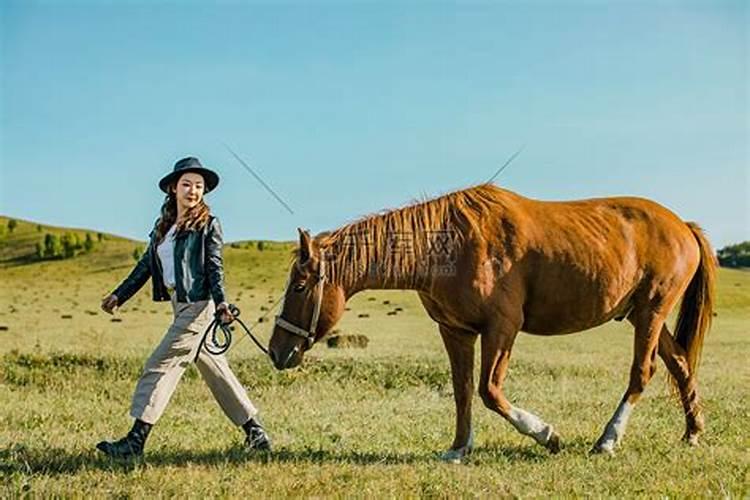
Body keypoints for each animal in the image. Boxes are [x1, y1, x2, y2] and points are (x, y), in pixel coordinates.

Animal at [268, 183, 716, 460]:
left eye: (300, 287)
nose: (276, 351)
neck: (448, 246)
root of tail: (683, 226)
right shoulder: (456, 332)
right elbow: (463, 391)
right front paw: (458, 447)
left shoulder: (502, 328)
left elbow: (489, 391)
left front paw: (545, 433)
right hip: (644, 315)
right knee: (680, 365)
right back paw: (693, 432)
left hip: (651, 311)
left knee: (643, 372)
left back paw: (608, 440)